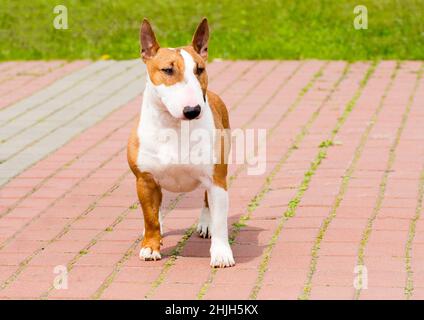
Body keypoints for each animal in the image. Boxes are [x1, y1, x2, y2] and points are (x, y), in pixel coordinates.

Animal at [127, 18, 235, 268]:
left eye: (200, 69)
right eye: (168, 70)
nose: (193, 110)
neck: (173, 127)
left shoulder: (216, 179)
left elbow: (219, 221)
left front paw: (221, 253)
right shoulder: (144, 180)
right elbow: (150, 218)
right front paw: (150, 247)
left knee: (206, 201)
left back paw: (205, 224)